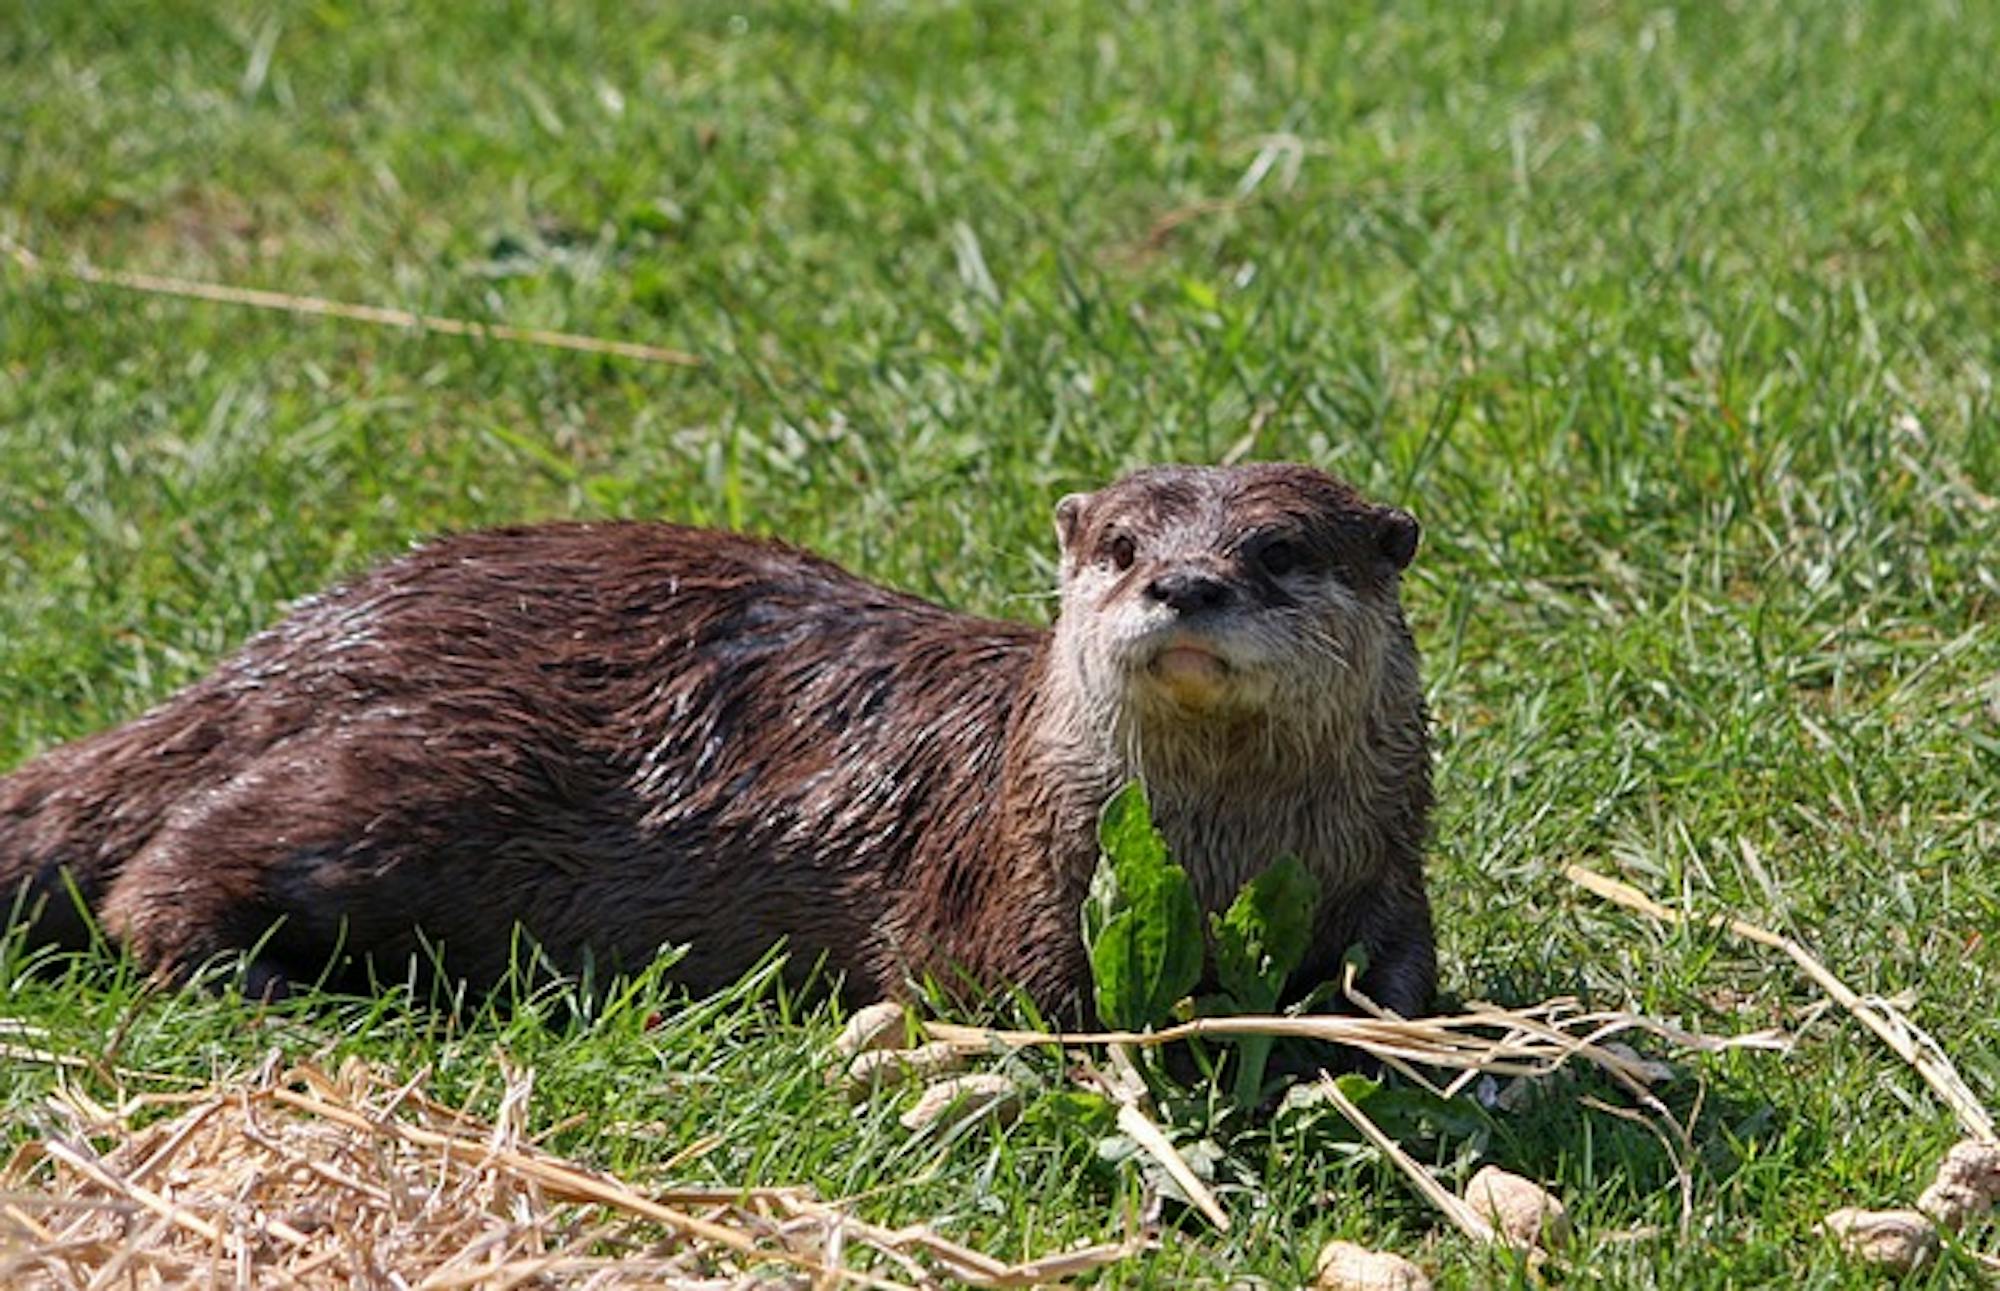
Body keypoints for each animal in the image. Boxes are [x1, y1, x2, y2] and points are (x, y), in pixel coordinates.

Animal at [0, 463, 1435, 1021]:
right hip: (416, 768)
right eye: (1125, 543)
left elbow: (1400, 973)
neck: (1226, 851)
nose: (1185, 585)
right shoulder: (1003, 872)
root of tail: (300, 641)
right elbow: (1001, 991)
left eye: (1279, 548)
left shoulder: (1384, 864)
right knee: (165, 866)